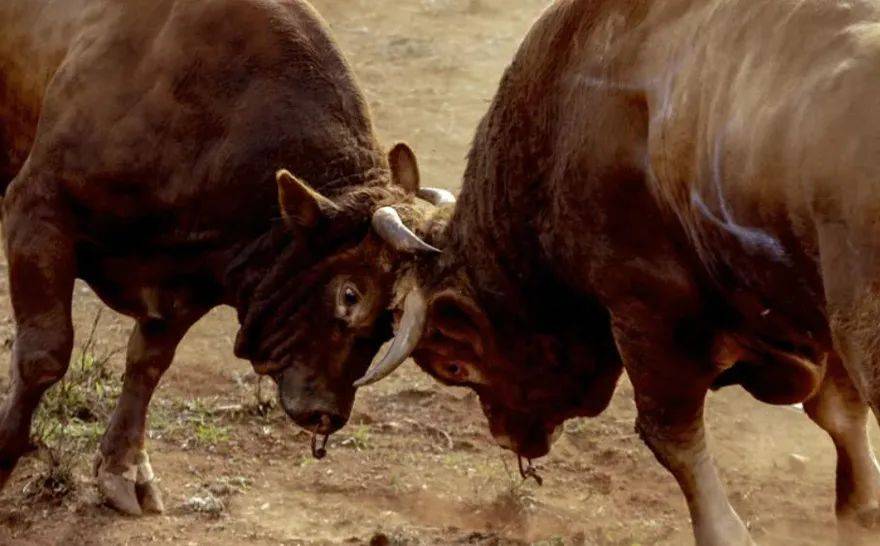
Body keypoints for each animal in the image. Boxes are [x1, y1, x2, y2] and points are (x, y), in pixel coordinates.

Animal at [0, 0, 440, 516]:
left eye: (392, 319)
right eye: (350, 294)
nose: (327, 414)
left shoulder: (195, 278)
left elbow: (148, 362)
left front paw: (124, 470)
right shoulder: (37, 207)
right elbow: (43, 354)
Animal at [354, 1, 880, 544]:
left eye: (453, 365)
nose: (507, 436)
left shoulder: (644, 304)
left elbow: (670, 434)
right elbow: (837, 410)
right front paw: (862, 507)